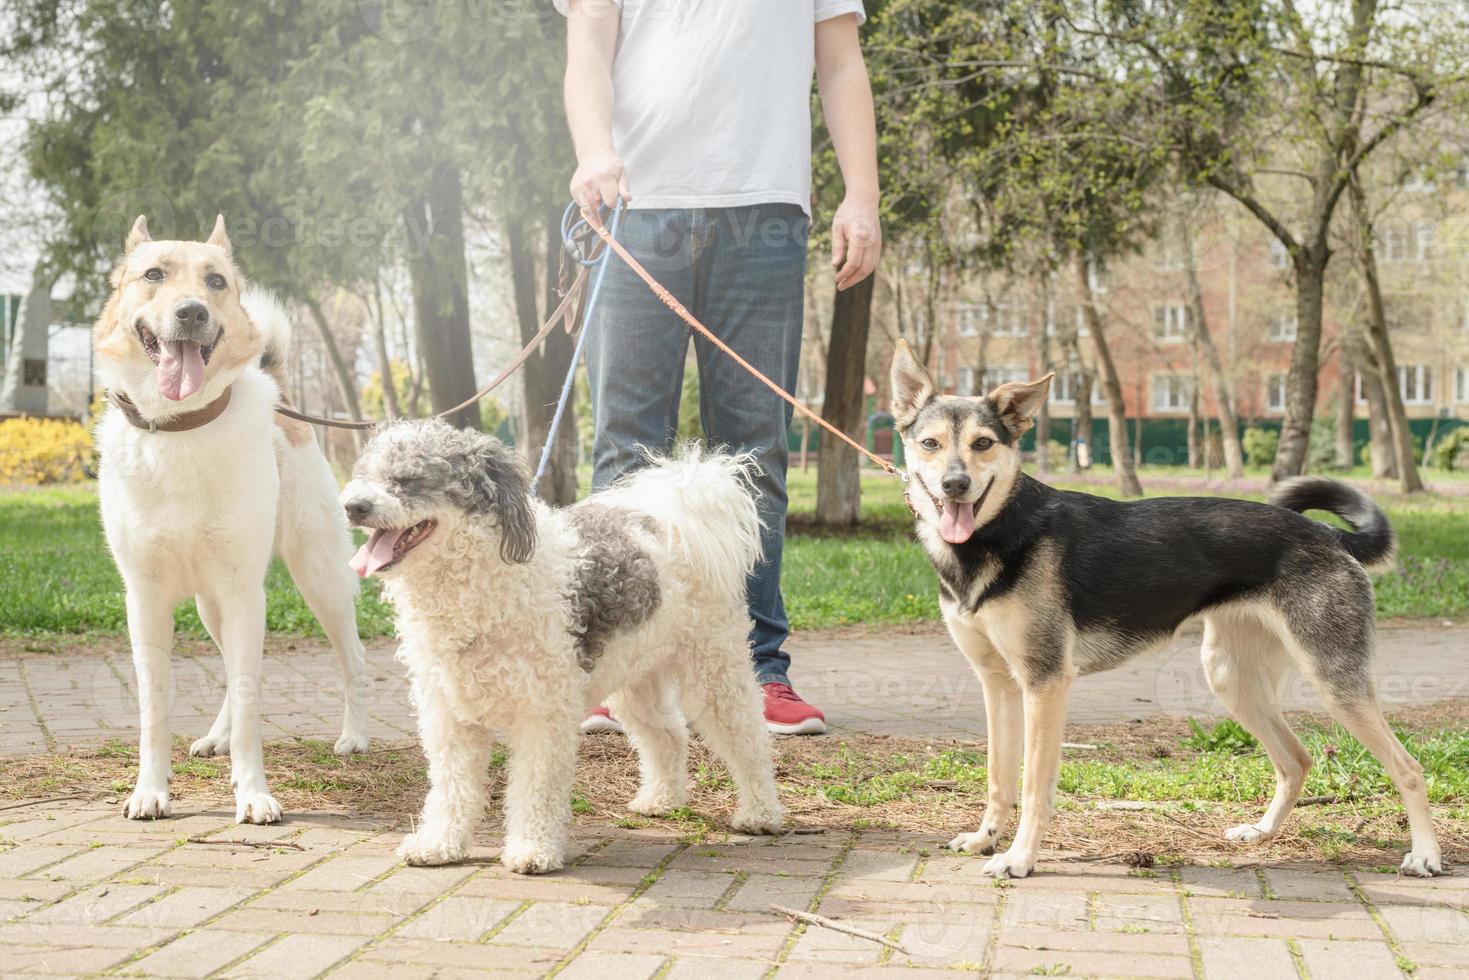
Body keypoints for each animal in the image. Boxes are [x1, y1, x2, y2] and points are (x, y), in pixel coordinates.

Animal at [94, 215, 370, 828]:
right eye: (154, 275)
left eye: (216, 281)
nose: (192, 312)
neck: (180, 427)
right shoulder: (144, 599)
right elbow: (154, 709)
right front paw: (151, 790)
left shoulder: (246, 594)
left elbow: (248, 700)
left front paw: (253, 794)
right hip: (210, 604)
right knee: (226, 663)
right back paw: (214, 738)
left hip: (319, 580)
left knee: (353, 658)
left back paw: (354, 737)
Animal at [339, 423, 787, 875]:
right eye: (365, 475)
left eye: (410, 479)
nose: (353, 506)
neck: (482, 586)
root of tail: (670, 517)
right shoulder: (449, 714)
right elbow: (452, 787)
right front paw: (439, 844)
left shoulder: (543, 713)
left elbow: (535, 787)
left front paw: (533, 849)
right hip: (635, 679)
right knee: (669, 735)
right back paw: (660, 800)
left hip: (714, 670)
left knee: (748, 740)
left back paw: (761, 813)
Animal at [887, 339, 1439, 881]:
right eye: (930, 444)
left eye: (983, 444)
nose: (955, 484)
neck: (995, 533)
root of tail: (1328, 534)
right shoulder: (998, 683)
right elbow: (999, 778)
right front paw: (986, 839)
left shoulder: (1044, 683)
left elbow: (1033, 785)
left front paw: (1019, 858)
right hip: (1231, 678)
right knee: (1297, 760)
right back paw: (1261, 833)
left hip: (1333, 681)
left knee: (1408, 767)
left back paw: (1426, 855)